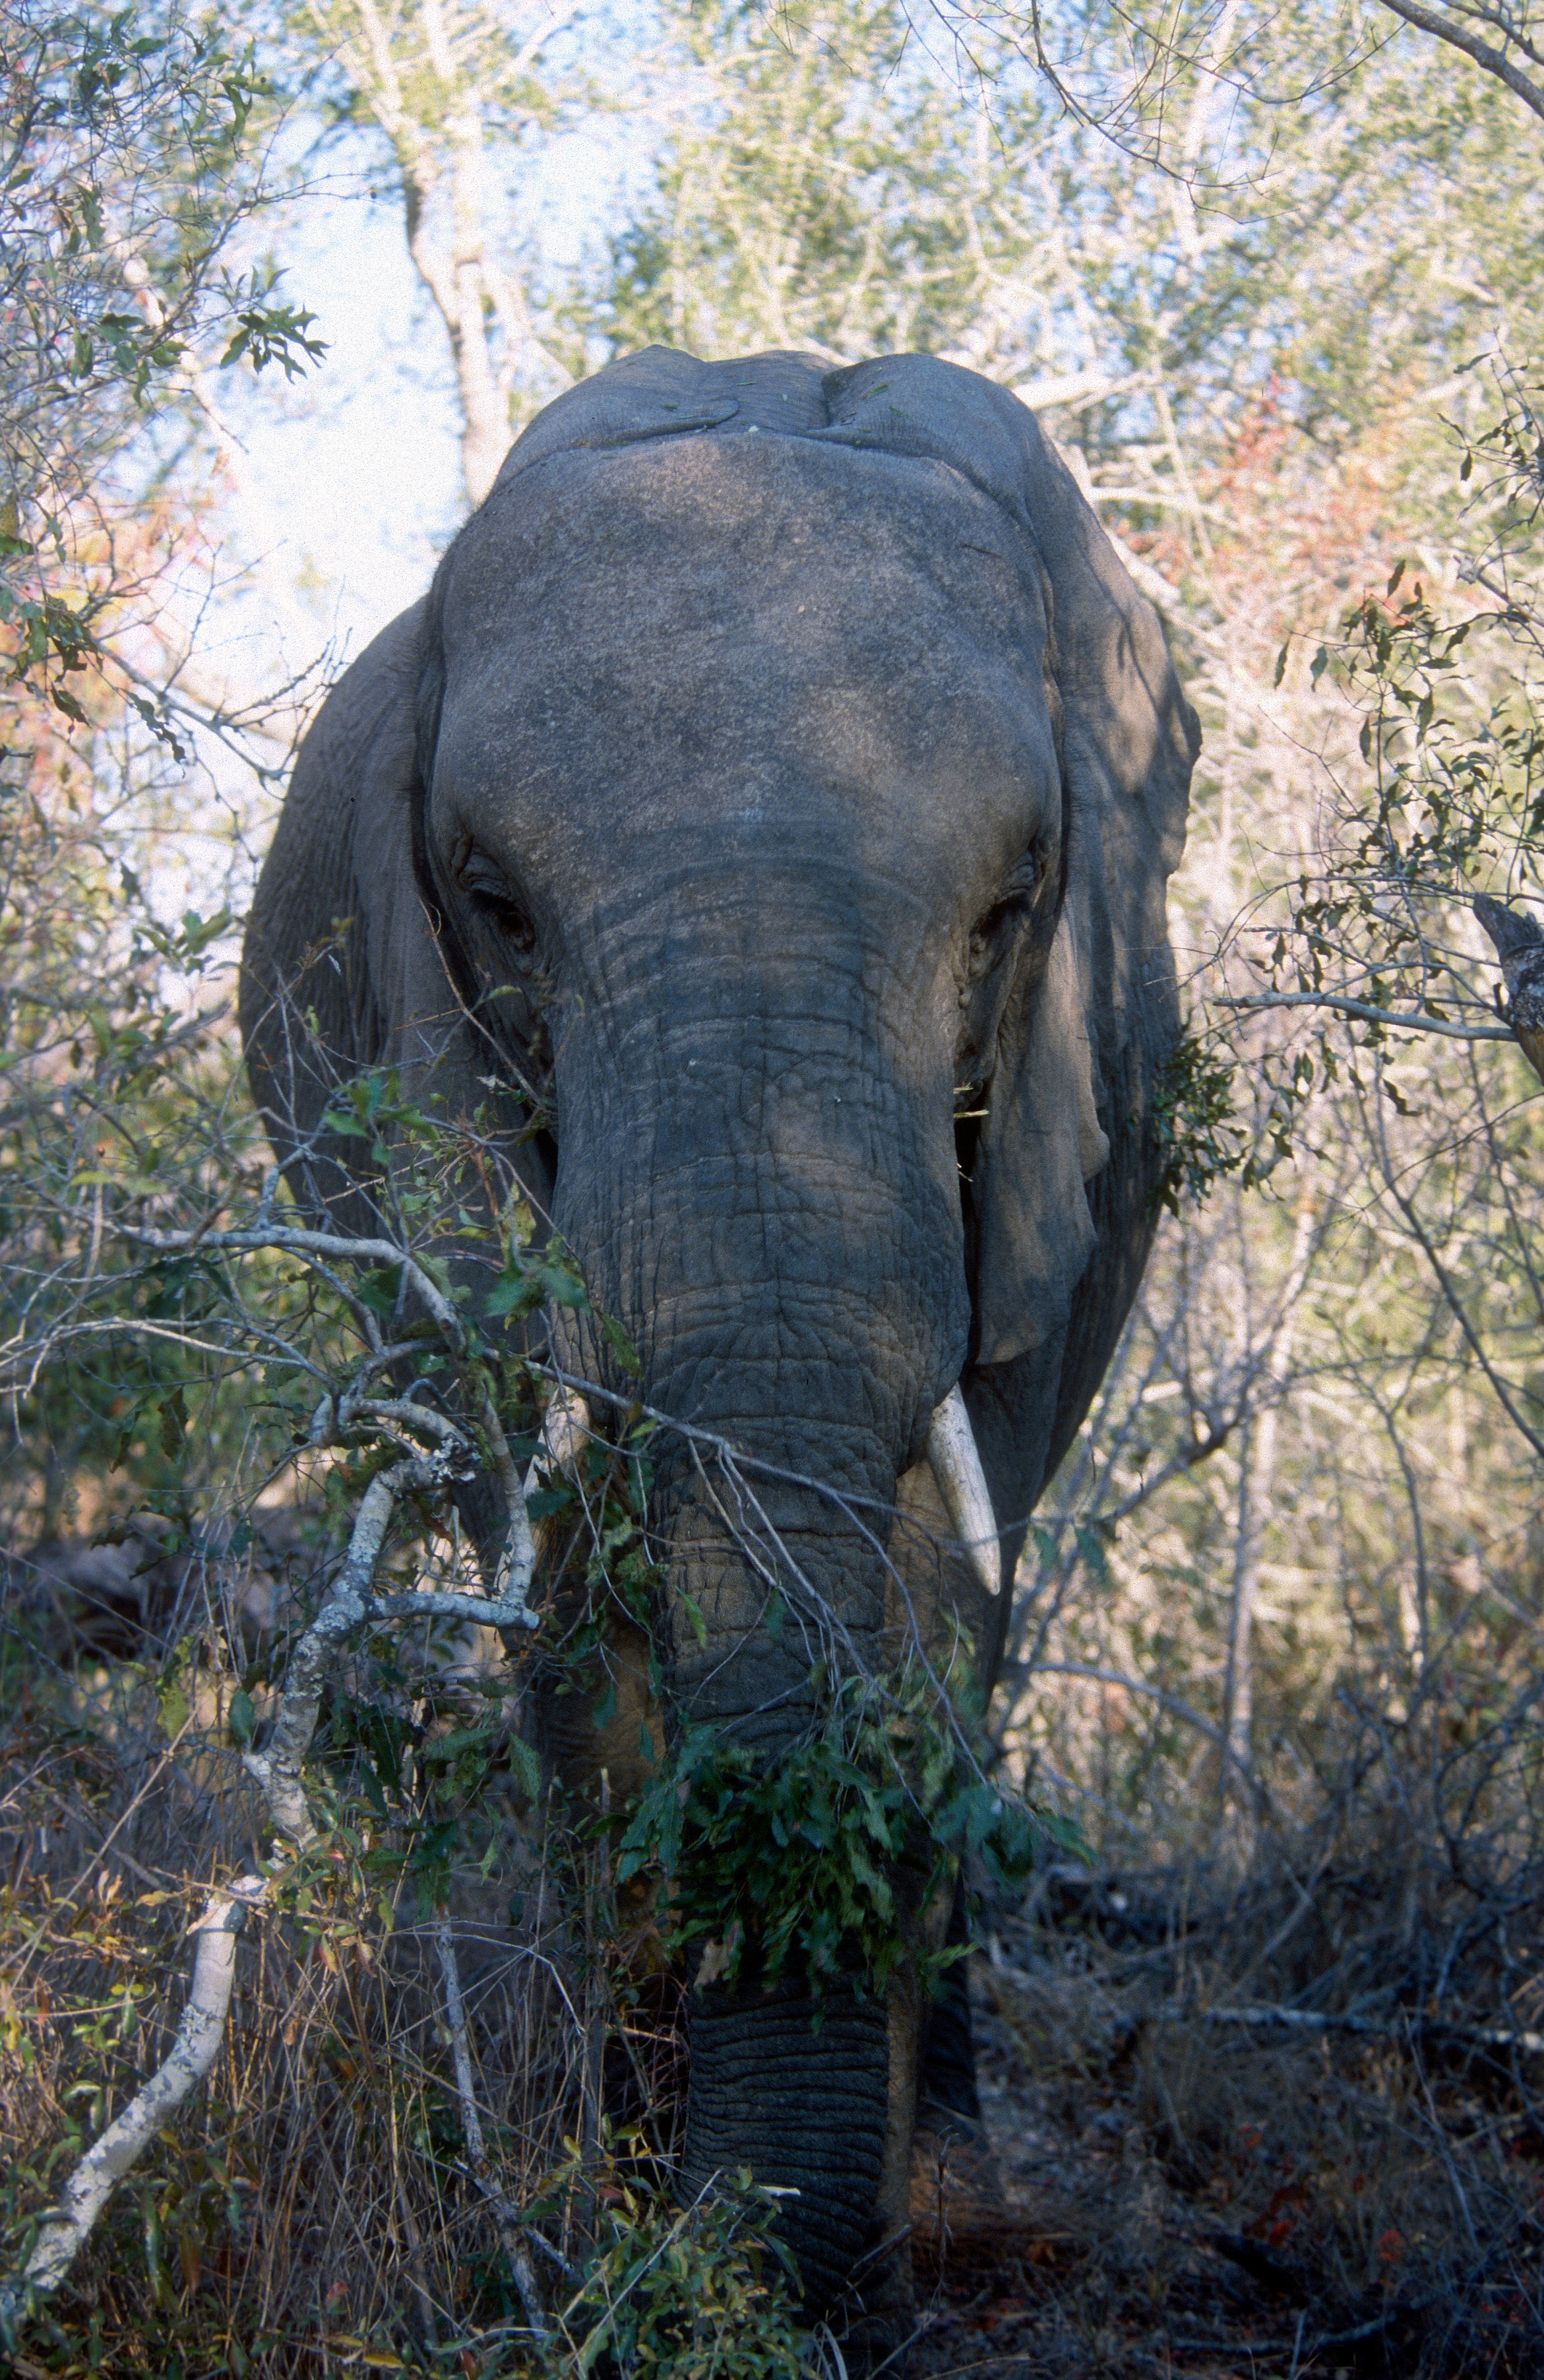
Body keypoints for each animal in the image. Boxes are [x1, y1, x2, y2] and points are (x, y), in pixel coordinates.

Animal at [240, 345, 1198, 2351]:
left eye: (1010, 907)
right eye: (497, 903)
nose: (733, 2258)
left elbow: (944, 1581)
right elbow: (558, 1576)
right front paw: (616, 2203)